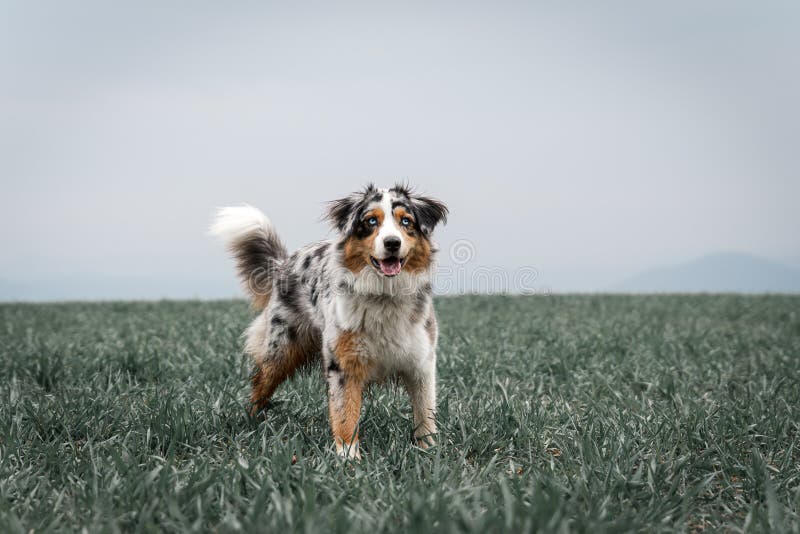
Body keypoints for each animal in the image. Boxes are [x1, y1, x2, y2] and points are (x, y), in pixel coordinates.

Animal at [212, 185, 446, 460]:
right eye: (371, 221)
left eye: (406, 221)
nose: (392, 242)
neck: (384, 295)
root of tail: (284, 263)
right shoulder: (343, 363)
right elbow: (345, 414)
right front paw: (348, 459)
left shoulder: (421, 361)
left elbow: (425, 413)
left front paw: (429, 451)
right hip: (281, 348)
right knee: (260, 382)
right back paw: (251, 422)